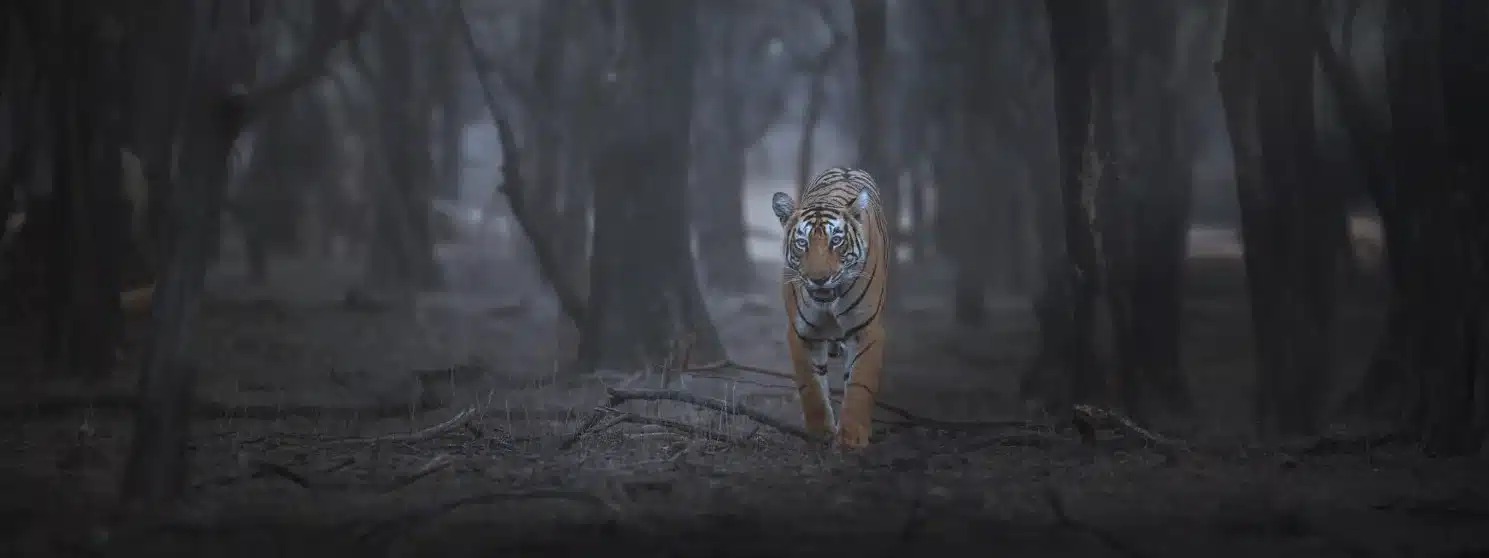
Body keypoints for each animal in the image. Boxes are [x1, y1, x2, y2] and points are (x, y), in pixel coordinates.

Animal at [774, 165, 887, 449]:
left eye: (836, 241)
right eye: (802, 243)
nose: (819, 278)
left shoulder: (867, 329)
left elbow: (860, 383)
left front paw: (852, 436)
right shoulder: (801, 332)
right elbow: (811, 385)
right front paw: (819, 432)